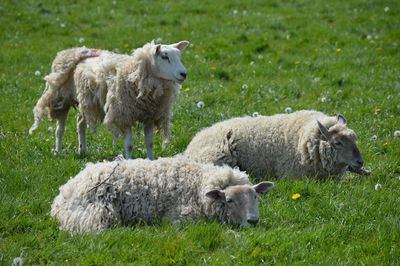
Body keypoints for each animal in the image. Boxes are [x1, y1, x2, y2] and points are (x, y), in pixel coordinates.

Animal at [29, 40, 189, 159]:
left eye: (179, 56)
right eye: (164, 57)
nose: (184, 74)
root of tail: (75, 50)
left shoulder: (149, 116)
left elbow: (149, 143)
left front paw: (150, 161)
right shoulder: (123, 115)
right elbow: (129, 145)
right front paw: (129, 161)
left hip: (86, 101)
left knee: (80, 123)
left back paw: (82, 150)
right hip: (61, 98)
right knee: (60, 128)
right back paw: (58, 150)